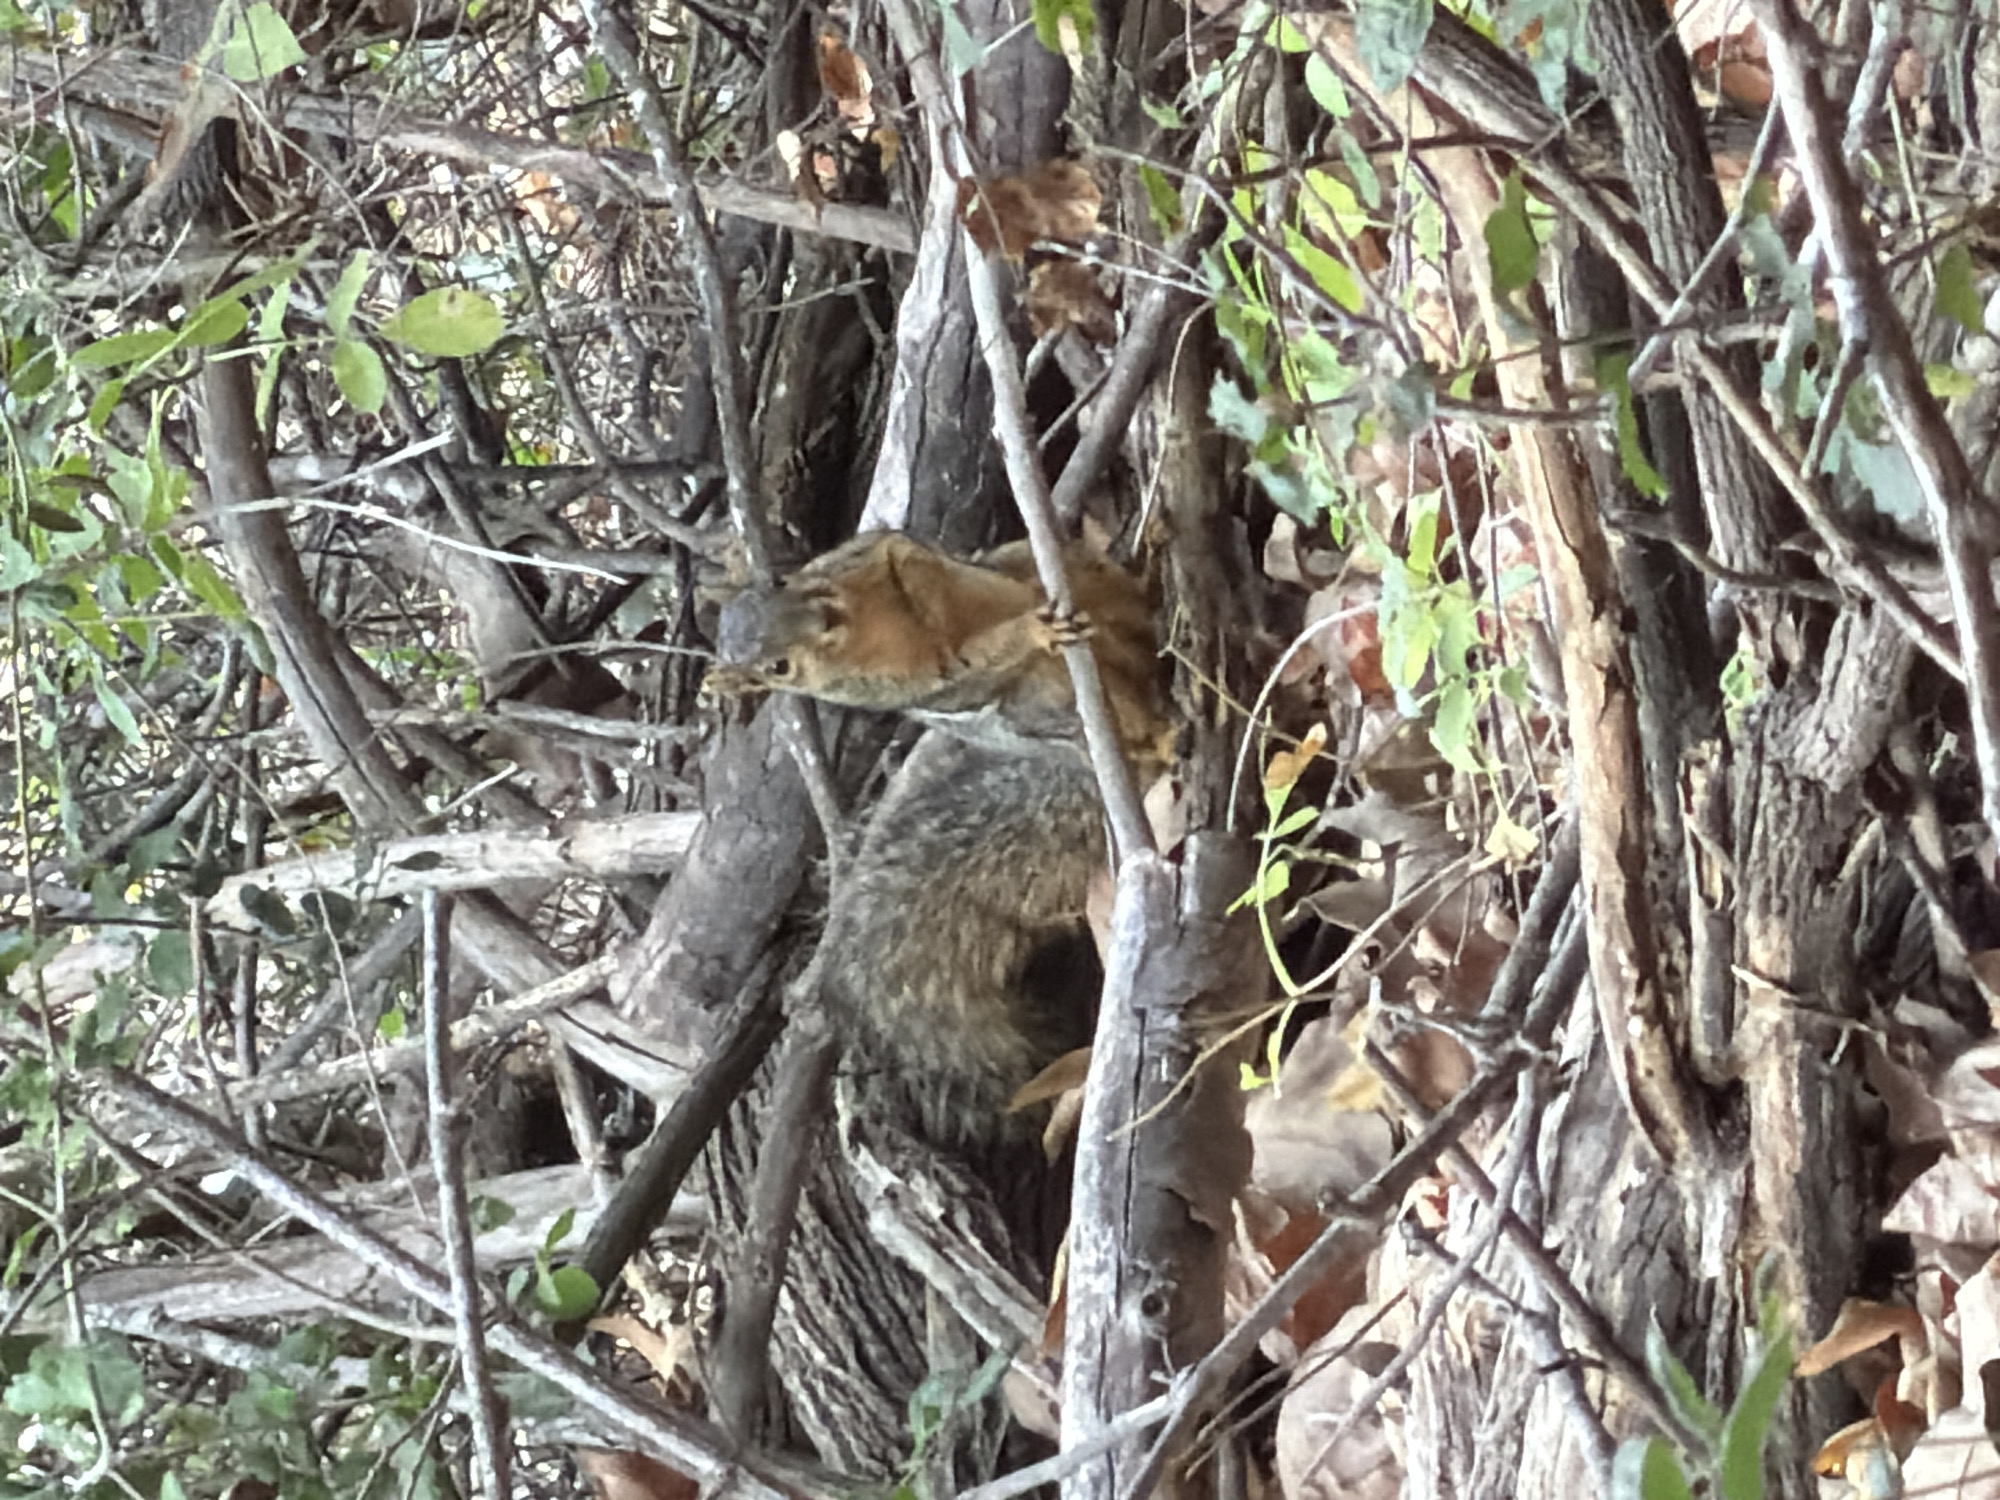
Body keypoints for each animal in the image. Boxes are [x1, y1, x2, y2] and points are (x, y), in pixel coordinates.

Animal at [705, 530, 1167, 1155]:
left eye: (784, 580)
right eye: (776, 669)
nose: (822, 615)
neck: (871, 629)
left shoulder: (873, 560)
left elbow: (896, 549)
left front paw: (918, 579)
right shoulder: (935, 685)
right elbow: (969, 665)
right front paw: (1028, 631)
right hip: (1045, 701)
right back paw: (1152, 735)